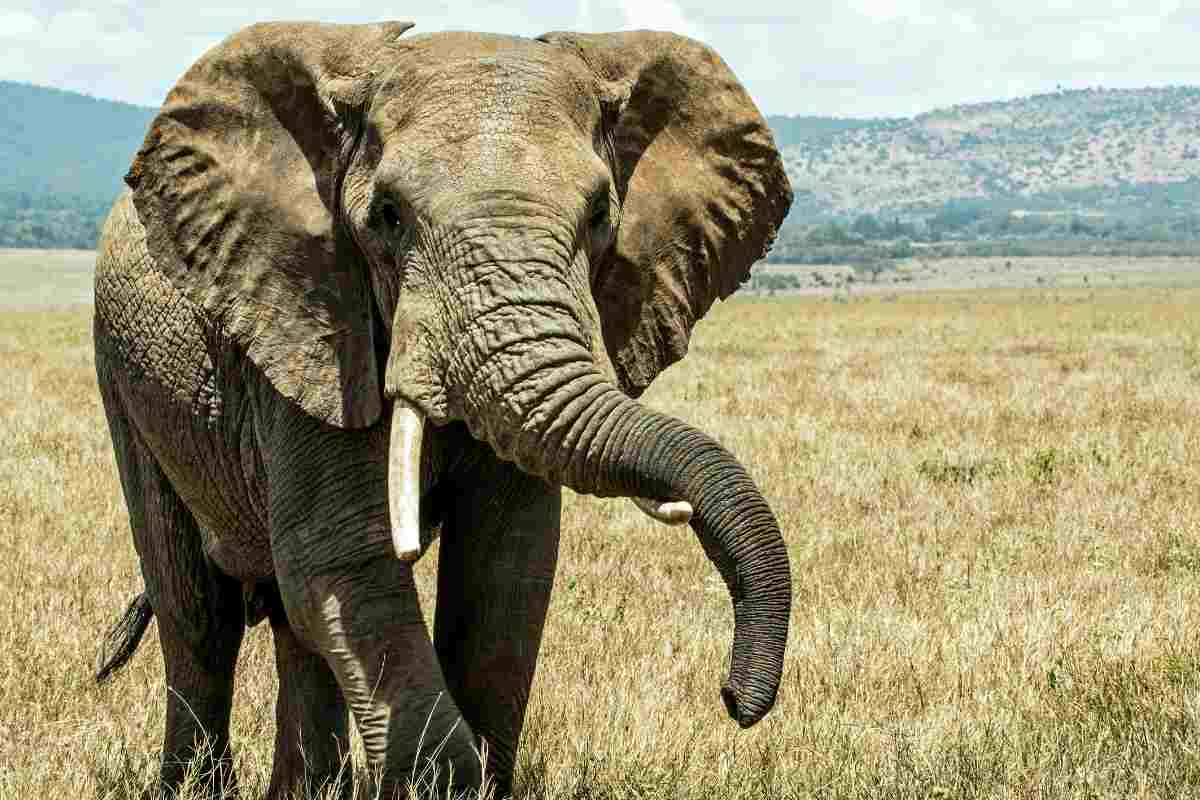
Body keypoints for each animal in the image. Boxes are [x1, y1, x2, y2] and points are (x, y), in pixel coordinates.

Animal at [92, 19, 793, 799]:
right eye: (388, 217)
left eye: (600, 215)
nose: (735, 700)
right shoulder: (313, 325)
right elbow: (344, 557)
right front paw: (451, 779)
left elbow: (506, 567)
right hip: (127, 379)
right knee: (197, 611)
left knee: (288, 624)